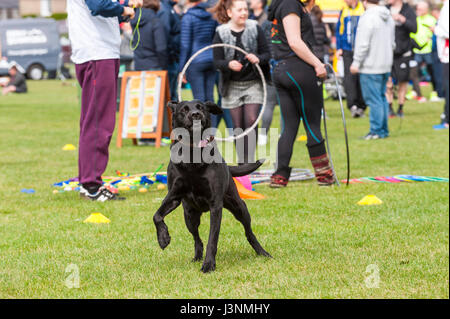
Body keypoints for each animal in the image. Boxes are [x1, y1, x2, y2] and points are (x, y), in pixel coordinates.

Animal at [154, 99, 270, 272]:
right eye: (184, 109)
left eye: (201, 107)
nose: (196, 114)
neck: (193, 154)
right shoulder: (173, 197)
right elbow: (157, 216)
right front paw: (163, 238)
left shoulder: (216, 206)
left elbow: (212, 238)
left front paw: (208, 264)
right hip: (189, 216)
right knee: (197, 239)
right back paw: (196, 256)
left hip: (239, 208)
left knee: (249, 232)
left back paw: (262, 252)